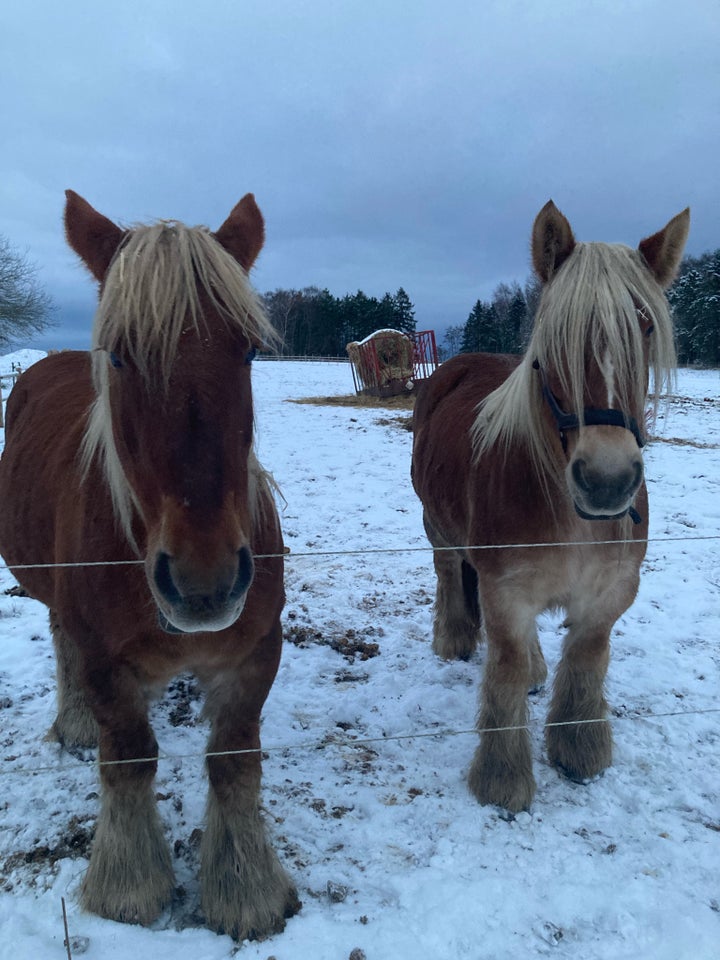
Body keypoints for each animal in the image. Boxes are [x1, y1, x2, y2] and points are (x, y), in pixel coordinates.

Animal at [0, 191, 300, 940]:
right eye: (121, 356)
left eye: (248, 349)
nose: (205, 580)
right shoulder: (108, 663)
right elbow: (130, 758)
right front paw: (129, 885)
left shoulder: (256, 651)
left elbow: (233, 761)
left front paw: (245, 887)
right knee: (60, 641)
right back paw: (75, 722)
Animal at [410, 201, 688, 808]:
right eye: (557, 336)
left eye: (645, 325)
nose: (607, 481)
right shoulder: (505, 592)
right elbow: (507, 670)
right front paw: (503, 778)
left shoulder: (609, 592)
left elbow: (586, 659)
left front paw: (580, 751)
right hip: (436, 526)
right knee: (449, 572)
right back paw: (453, 637)